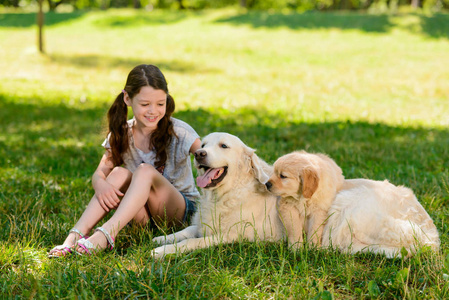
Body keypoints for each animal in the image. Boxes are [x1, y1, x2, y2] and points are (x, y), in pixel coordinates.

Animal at [150, 132, 284, 258]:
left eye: (223, 146)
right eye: (203, 145)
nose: (199, 154)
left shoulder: (230, 235)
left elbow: (192, 241)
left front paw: (163, 251)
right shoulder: (204, 223)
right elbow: (187, 230)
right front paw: (162, 239)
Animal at [266, 152, 438, 258]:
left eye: (283, 176)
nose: (267, 184)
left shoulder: (319, 210)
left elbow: (312, 229)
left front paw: (306, 248)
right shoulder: (288, 207)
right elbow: (293, 226)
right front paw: (296, 247)